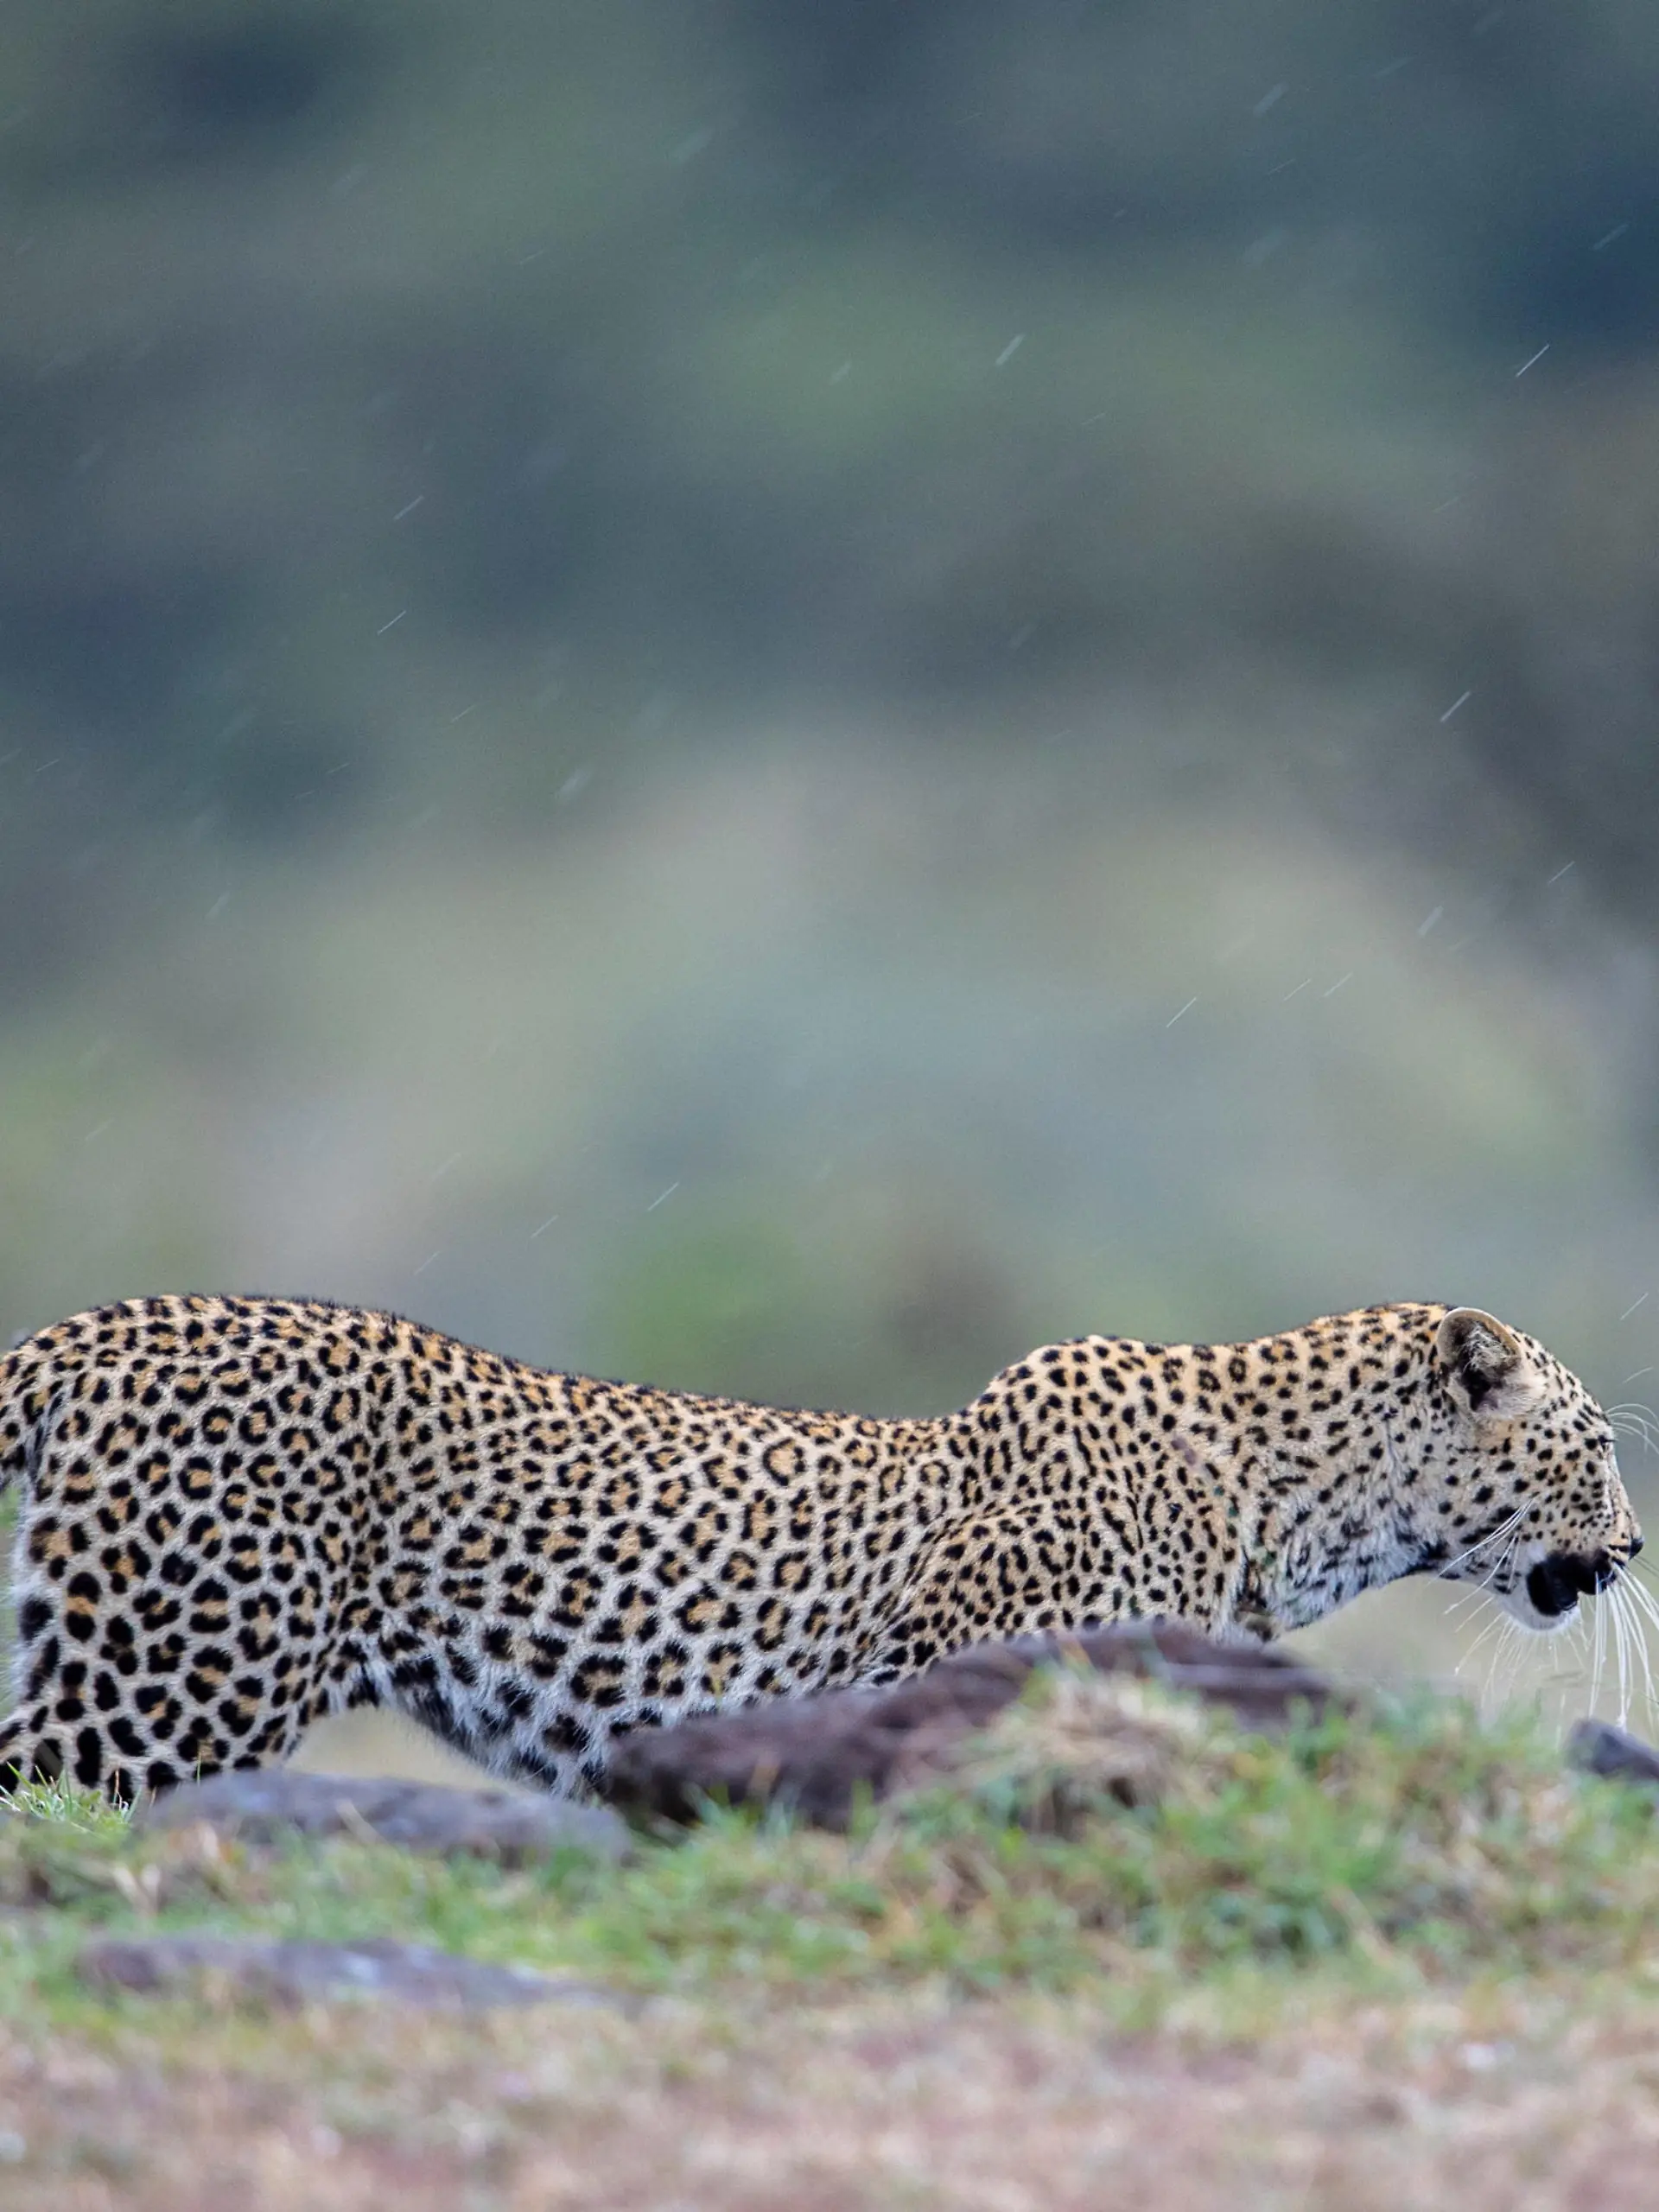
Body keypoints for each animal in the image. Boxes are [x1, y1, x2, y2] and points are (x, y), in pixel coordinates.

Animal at [0, 1292, 1642, 1800]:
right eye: (1604, 1444)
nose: (1635, 1545)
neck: (1296, 1505)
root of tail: (100, 1324)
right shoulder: (954, 1671)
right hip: (165, 1688)